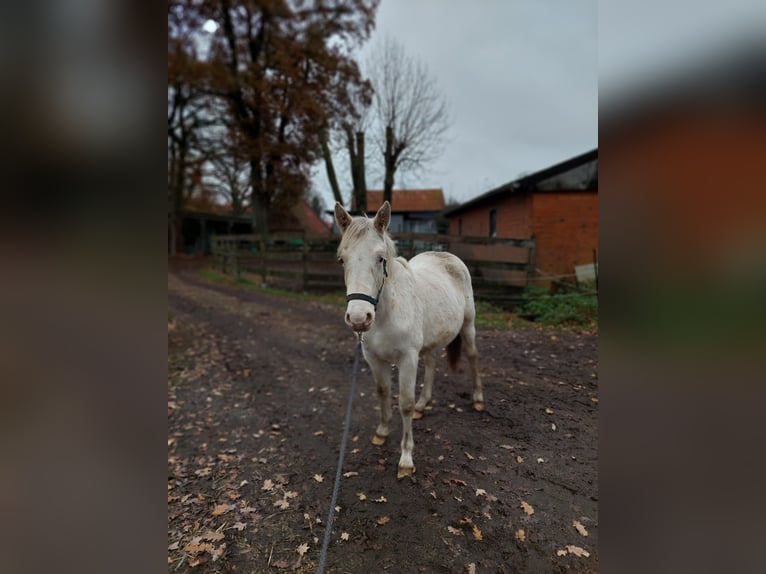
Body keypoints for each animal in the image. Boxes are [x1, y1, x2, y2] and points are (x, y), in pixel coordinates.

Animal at [332, 200, 484, 480]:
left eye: (380, 258)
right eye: (342, 260)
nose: (359, 318)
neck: (387, 312)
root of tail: (447, 257)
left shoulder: (407, 359)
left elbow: (404, 403)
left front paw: (405, 458)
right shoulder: (374, 359)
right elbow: (383, 392)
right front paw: (381, 432)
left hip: (468, 326)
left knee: (472, 356)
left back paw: (478, 399)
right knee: (432, 362)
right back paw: (424, 404)